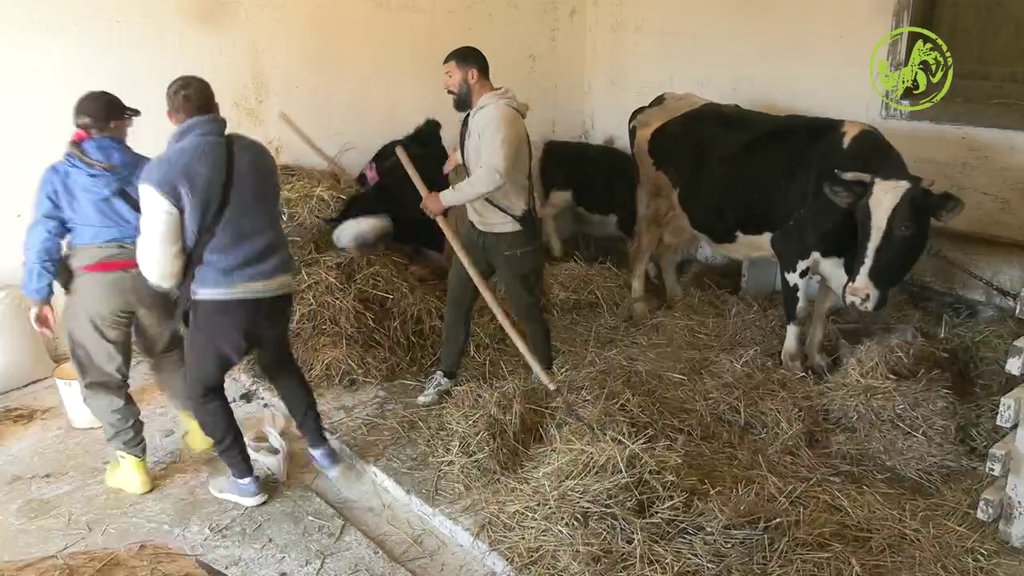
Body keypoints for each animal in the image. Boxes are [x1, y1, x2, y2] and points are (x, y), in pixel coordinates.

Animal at [626, 90, 962, 373]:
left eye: (907, 226)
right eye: (861, 220)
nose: (860, 296)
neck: (846, 252)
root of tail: (659, 100)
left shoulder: (837, 266)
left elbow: (822, 311)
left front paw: (817, 357)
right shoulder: (791, 250)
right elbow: (797, 309)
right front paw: (792, 360)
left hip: (684, 213)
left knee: (666, 252)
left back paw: (676, 297)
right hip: (652, 201)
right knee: (641, 250)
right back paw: (639, 307)